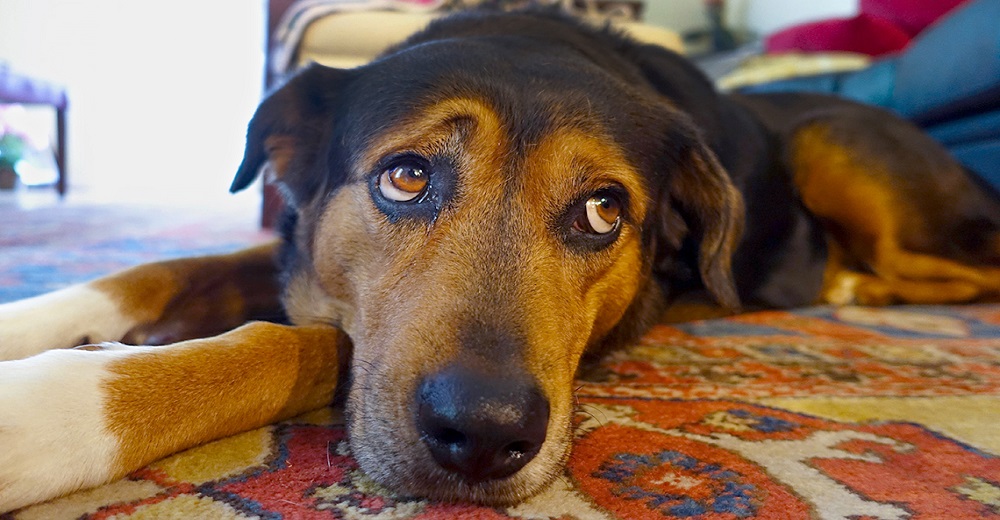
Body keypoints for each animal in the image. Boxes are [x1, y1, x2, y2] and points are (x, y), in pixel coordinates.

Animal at [1, 6, 1000, 512]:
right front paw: (32, 323)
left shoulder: (349, 339)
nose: (484, 437)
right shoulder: (300, 249)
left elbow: (291, 343)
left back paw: (855, 284)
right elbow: (161, 269)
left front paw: (50, 413)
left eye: (604, 211)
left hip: (838, 144)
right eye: (406, 177)